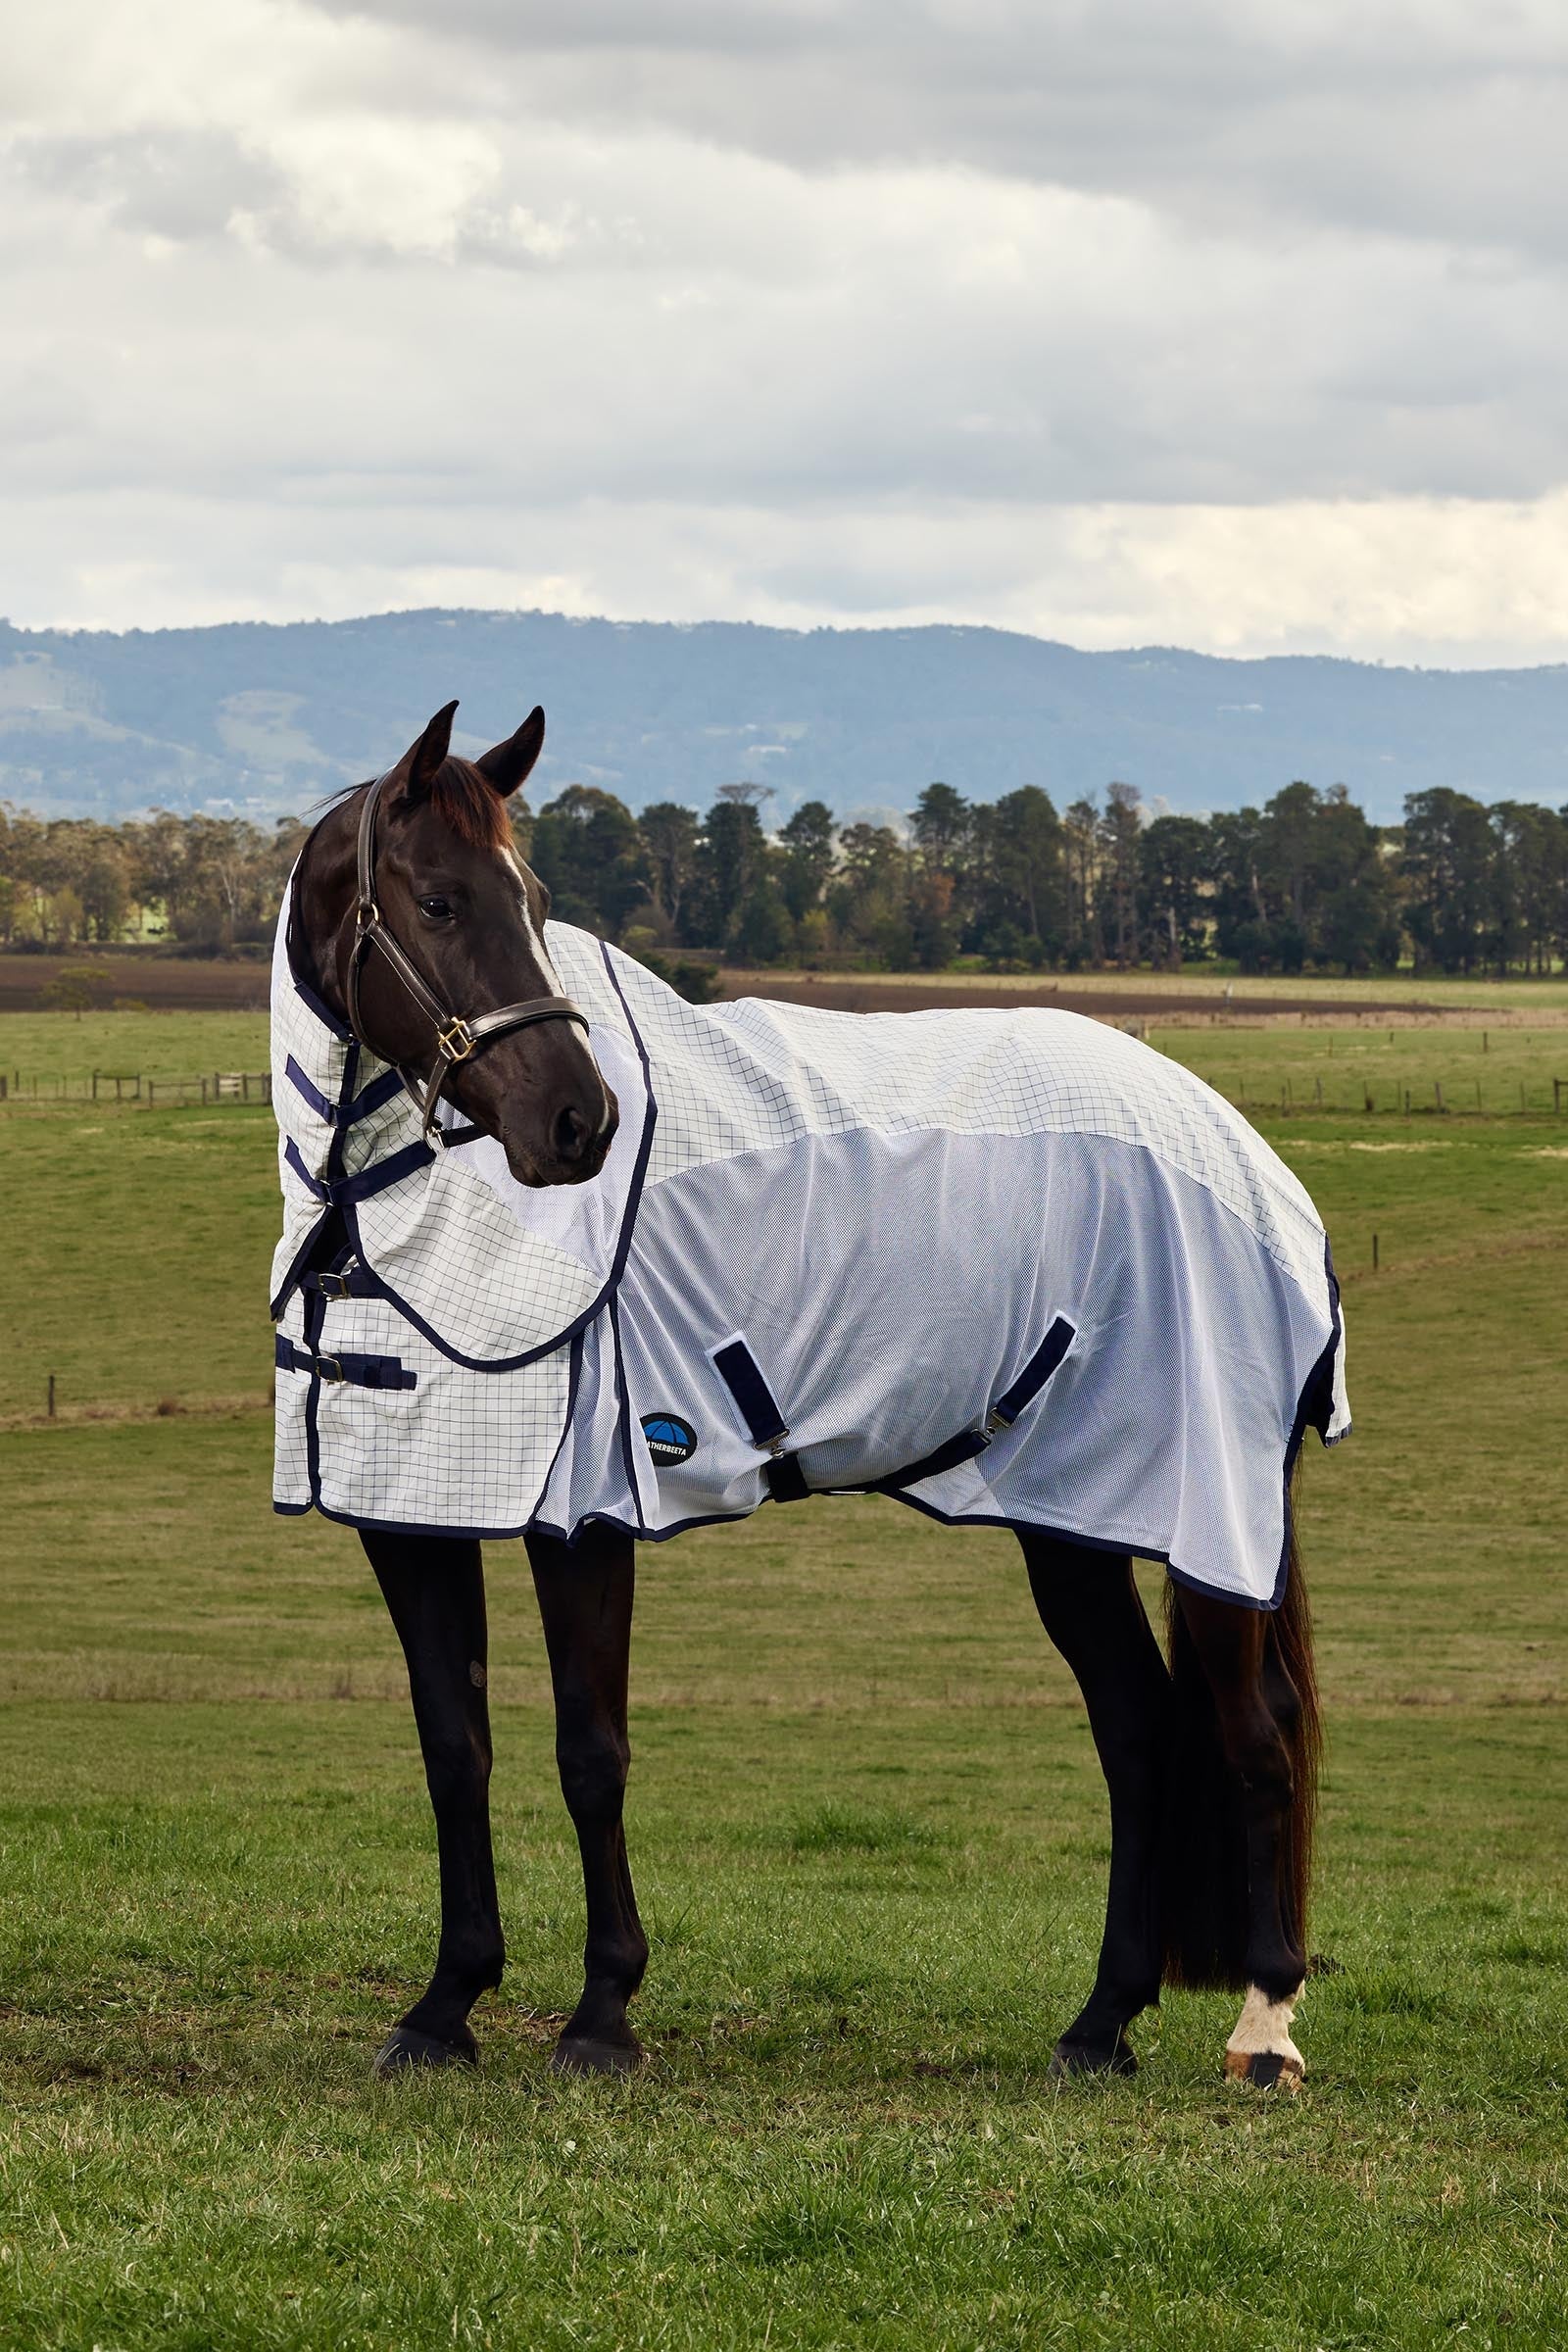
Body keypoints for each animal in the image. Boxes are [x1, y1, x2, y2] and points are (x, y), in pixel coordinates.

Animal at [277, 699, 1342, 2092]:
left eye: (534, 899)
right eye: (441, 902)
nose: (578, 1122)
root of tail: (1249, 1159)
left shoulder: (583, 1517)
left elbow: (589, 1754)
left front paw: (601, 2015)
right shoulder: (411, 1512)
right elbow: (456, 1749)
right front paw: (444, 2006)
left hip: (1209, 1516)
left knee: (1252, 1730)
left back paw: (1263, 2027)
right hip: (1073, 1519)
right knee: (1140, 1731)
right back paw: (1098, 2023)